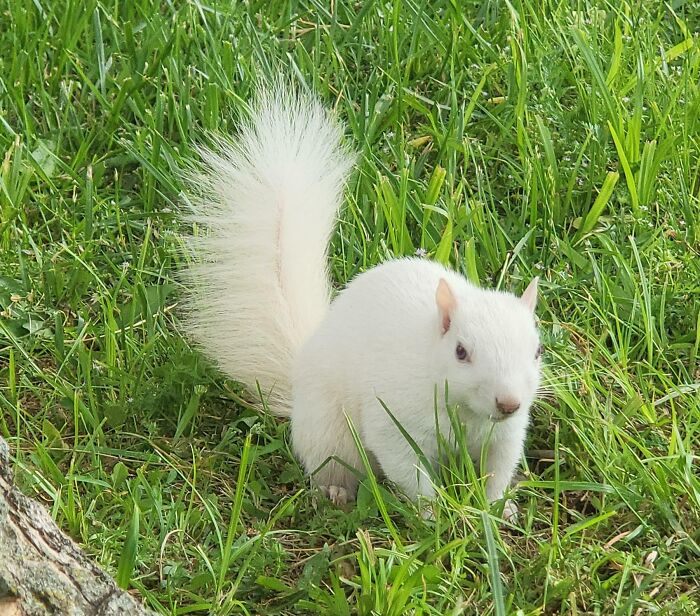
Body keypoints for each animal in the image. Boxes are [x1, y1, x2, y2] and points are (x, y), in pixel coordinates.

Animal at [181, 83, 542, 517]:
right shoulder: (395, 418)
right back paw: (336, 493)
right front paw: (434, 514)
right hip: (329, 433)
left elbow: (497, 471)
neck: (467, 410)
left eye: (537, 351)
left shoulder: (504, 436)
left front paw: (496, 509)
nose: (509, 403)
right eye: (461, 352)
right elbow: (406, 468)